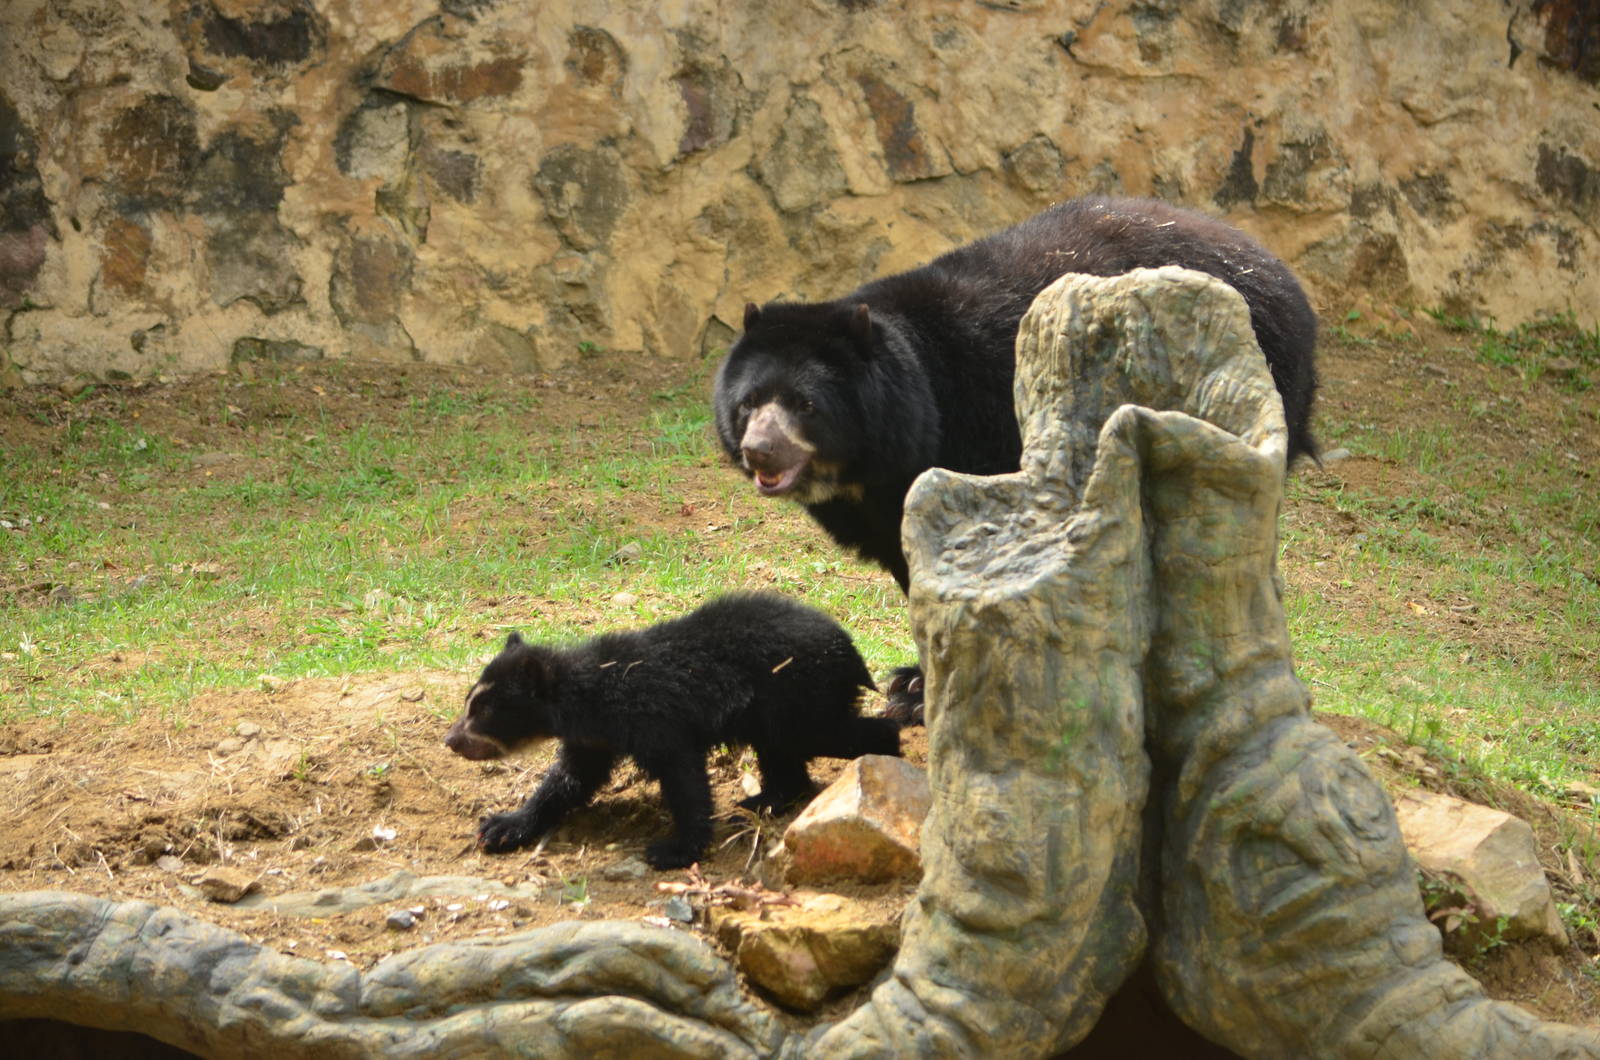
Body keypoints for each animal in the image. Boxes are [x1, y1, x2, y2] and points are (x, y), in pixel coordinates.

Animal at [443, 592, 900, 870]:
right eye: (470, 701)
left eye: (484, 711)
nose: (452, 740)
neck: (592, 694)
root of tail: (851, 652)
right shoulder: (593, 738)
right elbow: (570, 779)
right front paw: (502, 826)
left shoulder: (657, 719)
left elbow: (684, 779)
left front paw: (674, 849)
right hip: (774, 711)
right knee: (783, 758)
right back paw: (764, 799)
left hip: (798, 696)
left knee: (833, 733)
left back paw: (885, 748)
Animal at [712, 195, 1320, 723]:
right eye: (748, 404)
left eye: (806, 405)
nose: (759, 450)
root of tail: (1284, 277)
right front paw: (914, 681)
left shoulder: (981, 430)